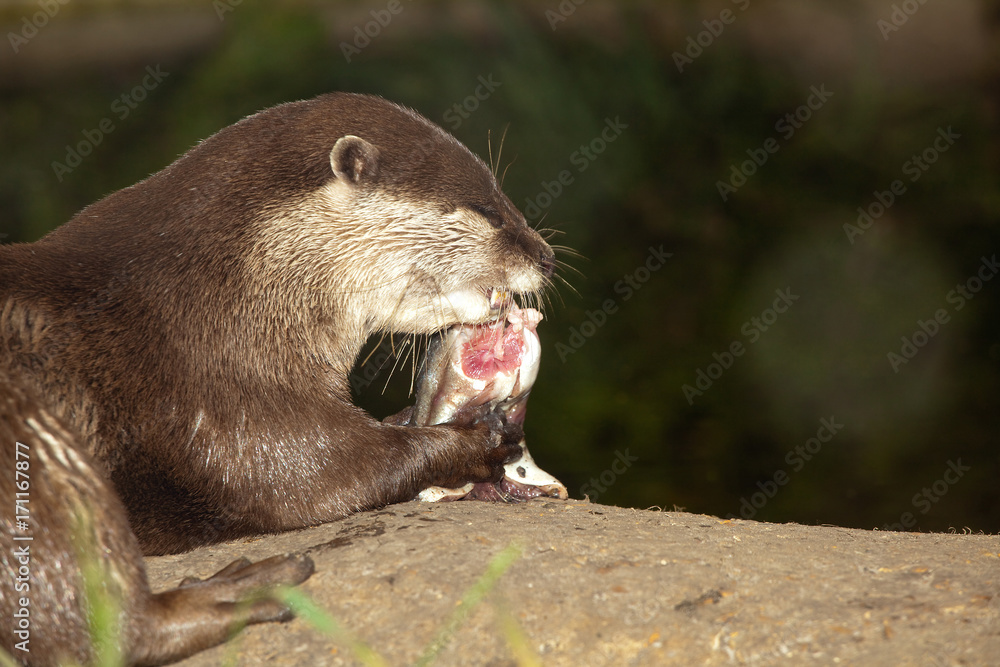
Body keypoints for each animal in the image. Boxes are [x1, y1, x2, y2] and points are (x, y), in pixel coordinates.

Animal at [0, 92, 555, 557]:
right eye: (487, 211)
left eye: (503, 196)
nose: (547, 257)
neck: (225, 291)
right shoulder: (219, 389)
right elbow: (314, 478)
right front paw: (473, 443)